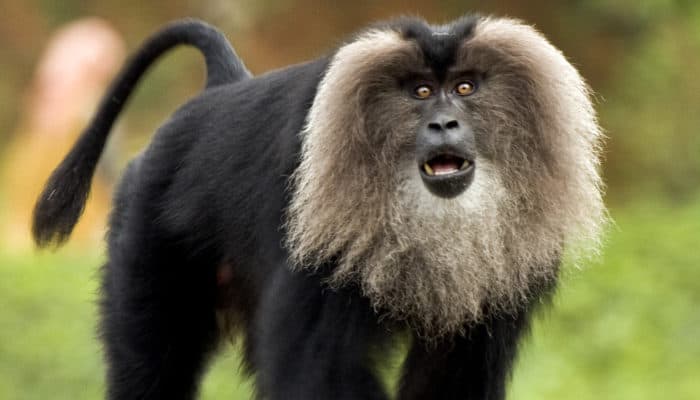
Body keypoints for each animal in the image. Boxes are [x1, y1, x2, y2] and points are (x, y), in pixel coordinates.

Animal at [32, 14, 604, 400]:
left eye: (464, 87)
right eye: (421, 92)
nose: (445, 124)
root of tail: (221, 90)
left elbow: (449, 374)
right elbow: (317, 370)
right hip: (144, 239)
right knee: (152, 368)